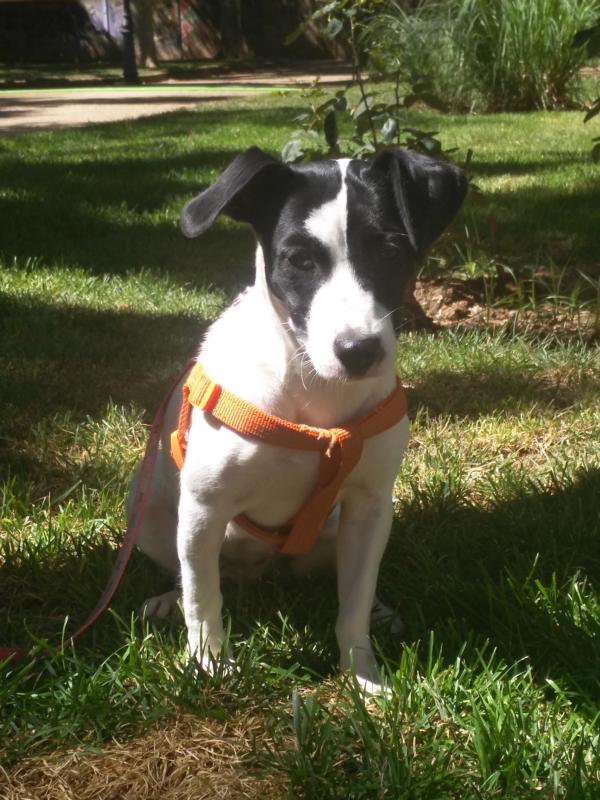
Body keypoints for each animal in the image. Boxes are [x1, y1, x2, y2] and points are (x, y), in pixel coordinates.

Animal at [128, 146, 467, 692]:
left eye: (390, 252)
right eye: (300, 260)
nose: (358, 351)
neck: (313, 398)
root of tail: (259, 571)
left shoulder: (370, 507)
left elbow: (351, 604)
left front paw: (362, 674)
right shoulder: (204, 507)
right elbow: (203, 598)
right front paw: (208, 663)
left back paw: (379, 611)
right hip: (149, 513)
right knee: (192, 573)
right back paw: (168, 600)